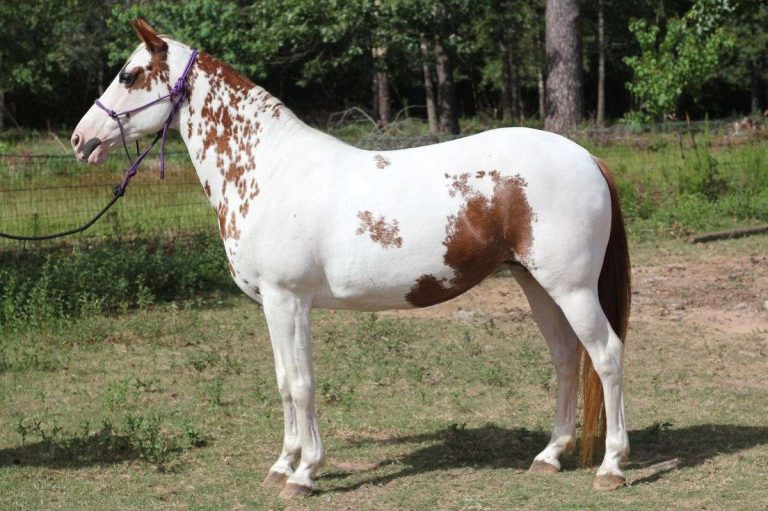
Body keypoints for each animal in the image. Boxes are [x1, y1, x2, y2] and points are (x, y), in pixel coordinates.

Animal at [72, 18, 631, 498]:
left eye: (129, 74)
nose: (81, 139)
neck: (268, 170)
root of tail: (587, 157)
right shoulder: (272, 305)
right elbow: (283, 382)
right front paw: (282, 465)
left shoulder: (289, 300)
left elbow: (302, 384)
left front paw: (305, 474)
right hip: (536, 284)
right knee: (566, 358)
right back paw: (549, 455)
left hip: (572, 289)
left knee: (605, 354)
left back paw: (611, 466)